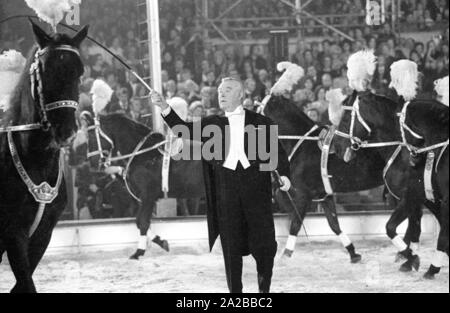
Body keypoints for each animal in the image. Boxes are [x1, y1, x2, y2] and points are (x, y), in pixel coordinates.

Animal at [74, 112, 205, 258]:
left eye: (91, 136)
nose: (92, 162)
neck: (144, 154)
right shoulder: (142, 198)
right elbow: (139, 222)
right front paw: (161, 242)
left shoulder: (148, 196)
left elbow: (142, 222)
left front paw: (139, 252)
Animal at [262, 94, 424, 264]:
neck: (301, 144)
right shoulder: (323, 195)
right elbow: (334, 224)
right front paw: (353, 252)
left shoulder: (302, 194)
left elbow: (295, 223)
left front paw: (286, 253)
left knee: (414, 216)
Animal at [332, 89, 444, 274]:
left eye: (346, 118)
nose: (337, 146)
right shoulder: (421, 200)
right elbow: (414, 227)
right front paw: (409, 260)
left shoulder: (411, 198)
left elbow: (392, 227)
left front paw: (411, 258)